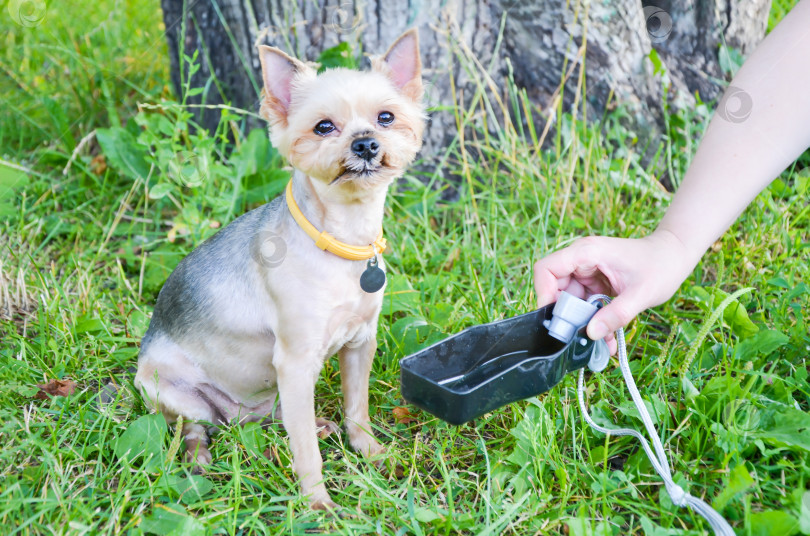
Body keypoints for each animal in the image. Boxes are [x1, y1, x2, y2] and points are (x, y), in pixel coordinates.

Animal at [134, 30, 422, 510]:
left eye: (386, 117)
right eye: (324, 127)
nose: (365, 143)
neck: (341, 239)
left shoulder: (360, 343)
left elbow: (356, 408)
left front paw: (370, 453)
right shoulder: (296, 362)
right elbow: (305, 449)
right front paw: (317, 503)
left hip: (270, 396)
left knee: (267, 420)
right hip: (176, 393)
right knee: (198, 427)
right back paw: (198, 459)